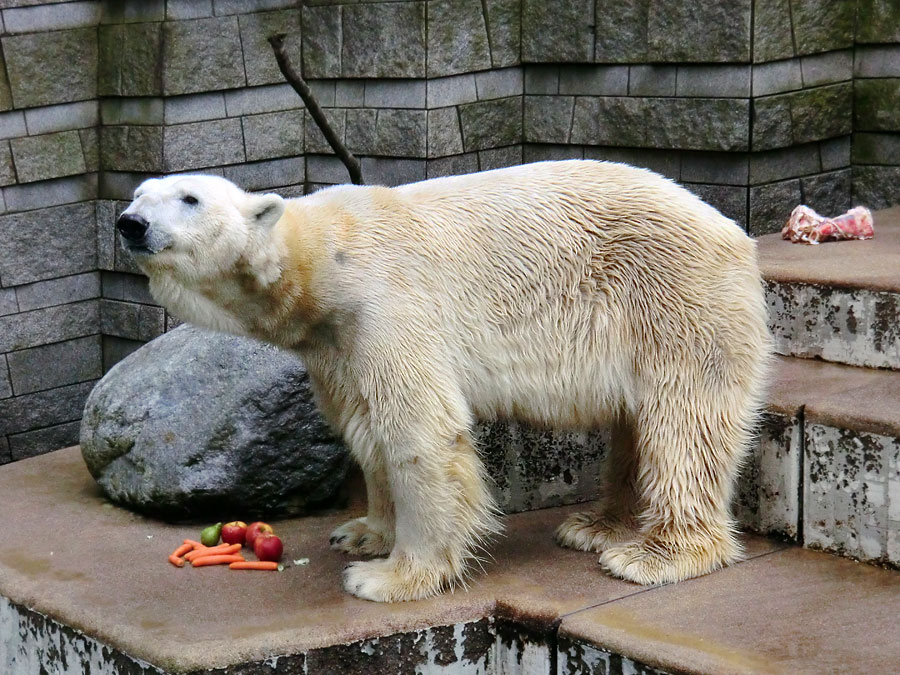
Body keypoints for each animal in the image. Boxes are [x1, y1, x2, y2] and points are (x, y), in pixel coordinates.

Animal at [116, 160, 768, 604]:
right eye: (139, 194)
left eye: (190, 198)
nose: (130, 223)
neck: (321, 260)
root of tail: (734, 233)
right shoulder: (336, 343)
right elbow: (365, 427)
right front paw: (362, 534)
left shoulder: (386, 302)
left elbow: (418, 430)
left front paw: (389, 577)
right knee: (639, 422)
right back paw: (596, 526)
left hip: (672, 298)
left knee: (683, 421)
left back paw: (653, 555)